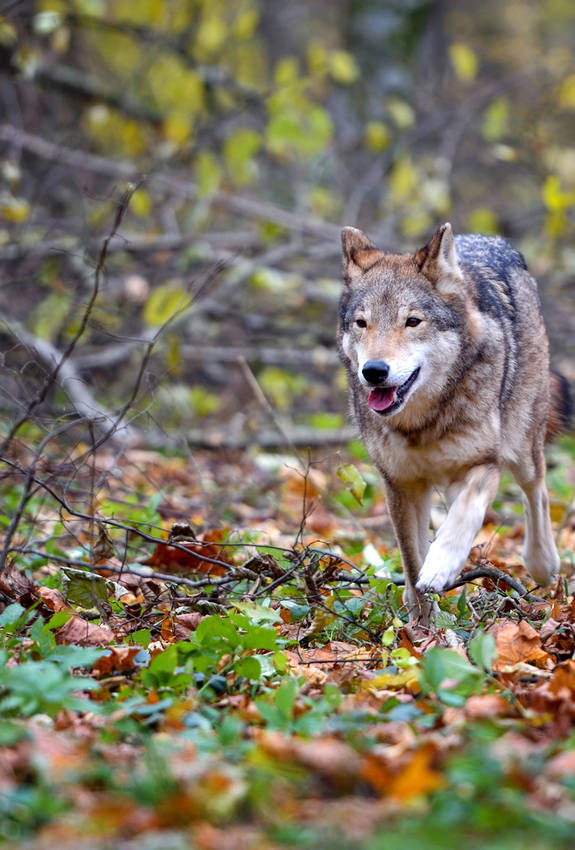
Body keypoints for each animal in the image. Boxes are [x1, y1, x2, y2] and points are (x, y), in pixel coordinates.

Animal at [338, 222, 571, 622]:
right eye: (362, 323)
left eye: (412, 321)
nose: (374, 371)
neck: (422, 425)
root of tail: (491, 240)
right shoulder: (402, 484)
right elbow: (411, 559)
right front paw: (421, 623)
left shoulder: (485, 464)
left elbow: (462, 518)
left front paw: (441, 567)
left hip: (522, 446)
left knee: (536, 492)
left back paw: (542, 565)